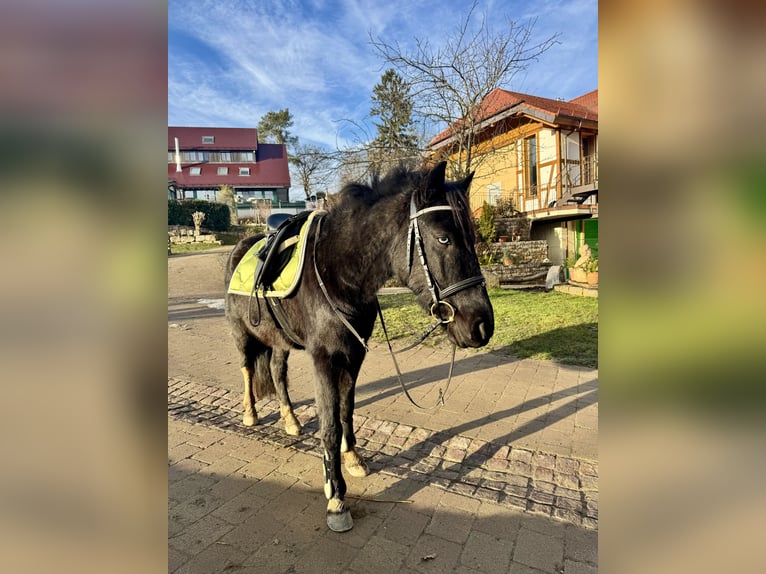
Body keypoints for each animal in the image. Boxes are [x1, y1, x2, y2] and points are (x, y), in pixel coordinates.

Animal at [224, 161, 494, 532]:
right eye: (444, 238)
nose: (482, 325)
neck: (338, 274)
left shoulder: (354, 356)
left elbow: (346, 411)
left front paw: (353, 458)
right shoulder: (324, 360)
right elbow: (329, 424)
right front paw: (336, 497)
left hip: (279, 341)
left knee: (277, 373)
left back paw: (290, 420)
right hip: (242, 336)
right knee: (248, 370)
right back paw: (250, 413)